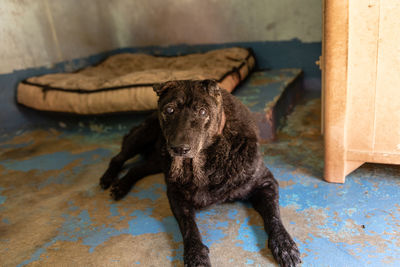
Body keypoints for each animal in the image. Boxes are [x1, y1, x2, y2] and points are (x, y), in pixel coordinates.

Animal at [100, 80, 300, 266]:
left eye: (203, 112)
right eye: (170, 110)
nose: (179, 149)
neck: (205, 165)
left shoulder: (265, 183)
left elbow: (273, 216)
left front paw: (283, 244)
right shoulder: (176, 194)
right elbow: (189, 226)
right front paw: (195, 254)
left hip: (157, 160)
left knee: (137, 168)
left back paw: (121, 185)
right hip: (142, 138)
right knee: (118, 158)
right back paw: (109, 180)